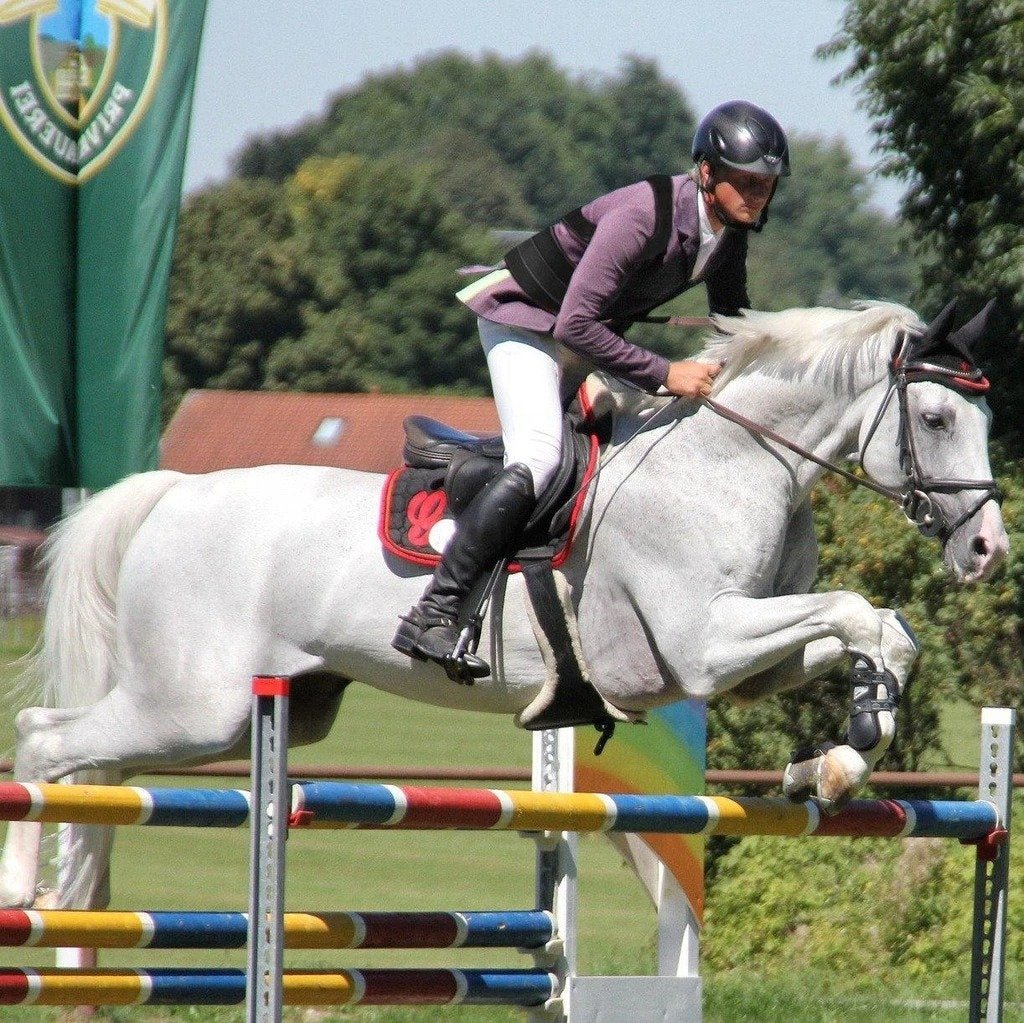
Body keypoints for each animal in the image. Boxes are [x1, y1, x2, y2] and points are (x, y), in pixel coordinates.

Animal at [0, 299, 1007, 913]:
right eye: (938, 419)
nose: (988, 549)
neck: (731, 461)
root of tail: (169, 492)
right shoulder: (701, 645)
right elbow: (858, 610)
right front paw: (846, 750)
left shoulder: (746, 656)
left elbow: (877, 627)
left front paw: (838, 754)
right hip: (192, 703)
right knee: (50, 737)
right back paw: (27, 891)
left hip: (256, 710)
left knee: (93, 756)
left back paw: (76, 887)